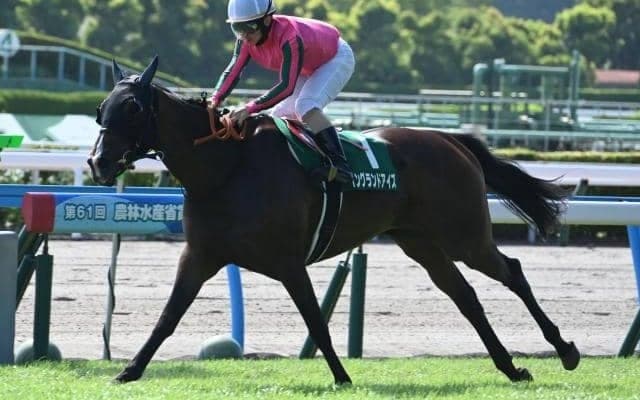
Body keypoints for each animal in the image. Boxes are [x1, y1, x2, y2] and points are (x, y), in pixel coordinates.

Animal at [88, 56, 580, 385]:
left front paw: (342, 376)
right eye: (100, 109)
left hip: (464, 235)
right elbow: (168, 317)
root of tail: (450, 139)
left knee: (511, 272)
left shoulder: (288, 262)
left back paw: (566, 350)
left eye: (133, 109)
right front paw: (128, 371)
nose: (98, 162)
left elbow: (315, 321)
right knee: (465, 296)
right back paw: (511, 367)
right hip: (421, 241)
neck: (227, 167)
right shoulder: (200, 255)